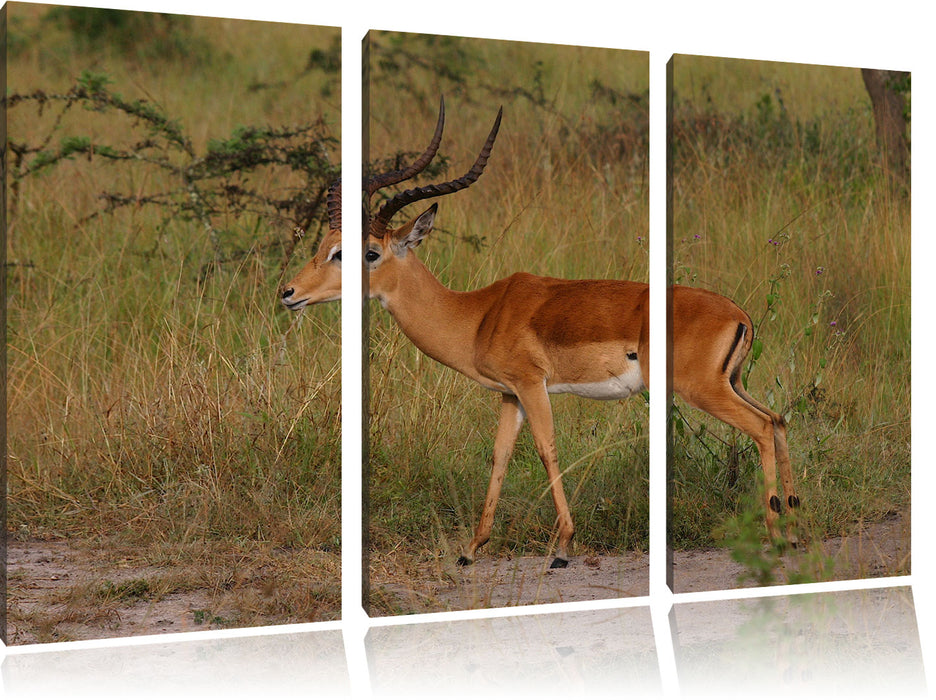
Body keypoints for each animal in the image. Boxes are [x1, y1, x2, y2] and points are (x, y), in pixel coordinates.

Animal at [278, 100, 796, 568]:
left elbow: (547, 450)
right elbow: (500, 455)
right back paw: (792, 526)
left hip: (701, 388)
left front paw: (563, 548)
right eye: (324, 244)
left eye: (364, 253)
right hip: (733, 383)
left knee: (760, 427)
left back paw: (775, 536)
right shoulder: (509, 394)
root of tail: (740, 314)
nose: (288, 292)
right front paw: (471, 549)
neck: (479, 315)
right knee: (777, 419)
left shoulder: (532, 384)